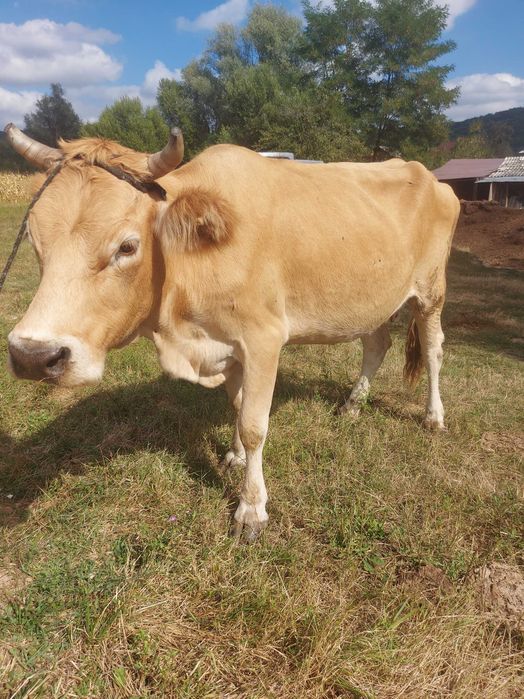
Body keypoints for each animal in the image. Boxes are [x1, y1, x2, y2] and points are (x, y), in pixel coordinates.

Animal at [4, 124, 460, 542]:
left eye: (127, 247)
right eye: (35, 241)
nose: (33, 356)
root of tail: (426, 174)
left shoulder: (263, 339)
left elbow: (255, 424)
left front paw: (251, 507)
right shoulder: (228, 346)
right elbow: (239, 406)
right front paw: (235, 457)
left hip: (431, 291)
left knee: (434, 350)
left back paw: (434, 416)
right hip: (371, 299)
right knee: (377, 344)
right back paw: (352, 405)